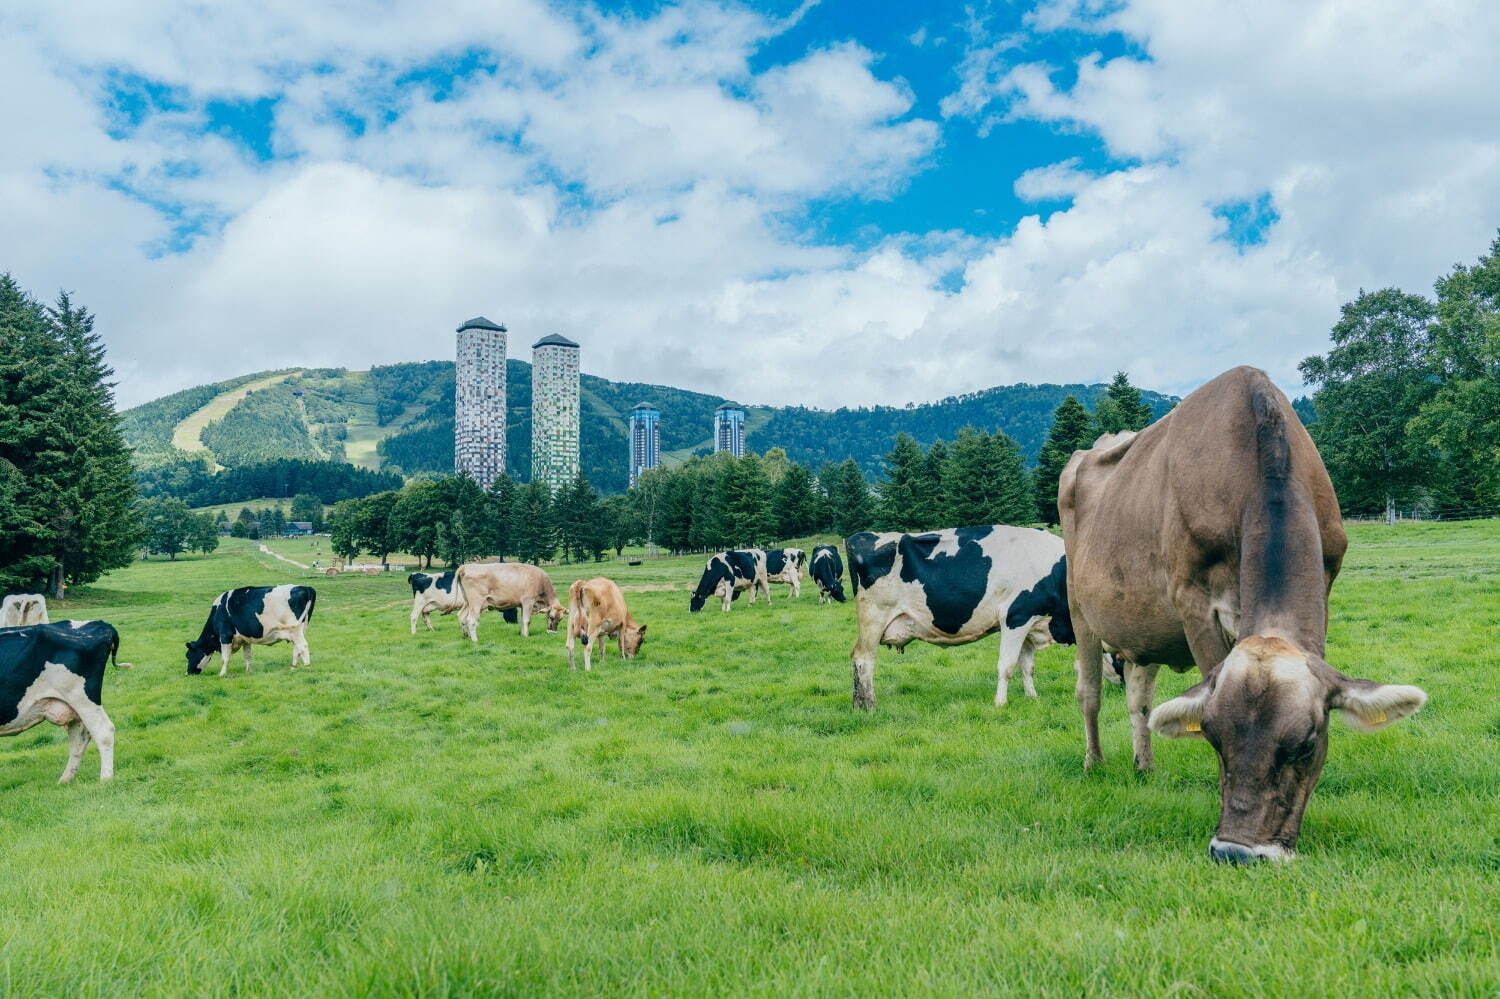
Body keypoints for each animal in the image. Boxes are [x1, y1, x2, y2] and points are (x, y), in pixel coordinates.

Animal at [1, 618, 124, 780]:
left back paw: (105, 778)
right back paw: (65, 780)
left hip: (81, 697)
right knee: (80, 737)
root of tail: (101, 623)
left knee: (103, 731)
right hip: (73, 705)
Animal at [187, 579, 316, 672]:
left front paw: (222, 674)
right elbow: (248, 656)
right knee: (297, 648)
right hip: (299, 629)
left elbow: (224, 658)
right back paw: (293, 668)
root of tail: (305, 588)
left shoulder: (225, 635)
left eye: (188, 655)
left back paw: (307, 667)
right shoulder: (245, 639)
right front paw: (248, 671)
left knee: (303, 646)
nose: (188, 673)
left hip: (294, 628)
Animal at [852, 522, 1086, 708]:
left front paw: (1032, 698)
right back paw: (870, 705)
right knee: (863, 659)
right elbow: (1007, 665)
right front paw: (1000, 703)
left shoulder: (1031, 622)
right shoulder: (1015, 617)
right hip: (873, 619)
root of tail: (860, 536)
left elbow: (1027, 666)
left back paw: (858, 704)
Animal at [1056, 361, 1428, 858]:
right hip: (1080, 608)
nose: (1237, 851)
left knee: (1139, 698)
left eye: (1307, 744)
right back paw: (1094, 764)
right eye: (1212, 737)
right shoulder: (1193, 601)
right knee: (1090, 693)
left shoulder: (1326, 583)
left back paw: (1144, 765)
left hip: (1143, 627)